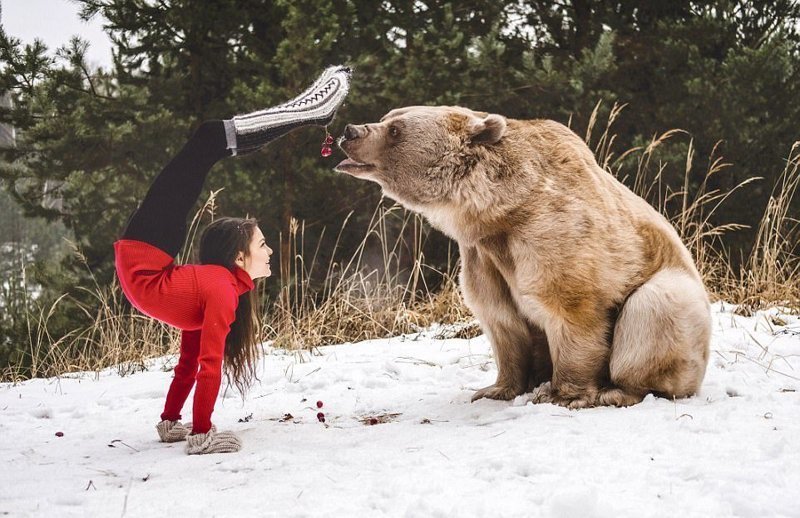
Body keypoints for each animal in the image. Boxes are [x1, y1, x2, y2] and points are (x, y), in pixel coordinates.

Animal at [334, 106, 708, 410]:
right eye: (386, 118)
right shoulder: (483, 257)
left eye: (396, 130)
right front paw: (495, 389)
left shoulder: (552, 235)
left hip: (676, 295)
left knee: (655, 309)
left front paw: (564, 394)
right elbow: (502, 320)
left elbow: (572, 309)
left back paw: (618, 391)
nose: (349, 132)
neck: (496, 213)